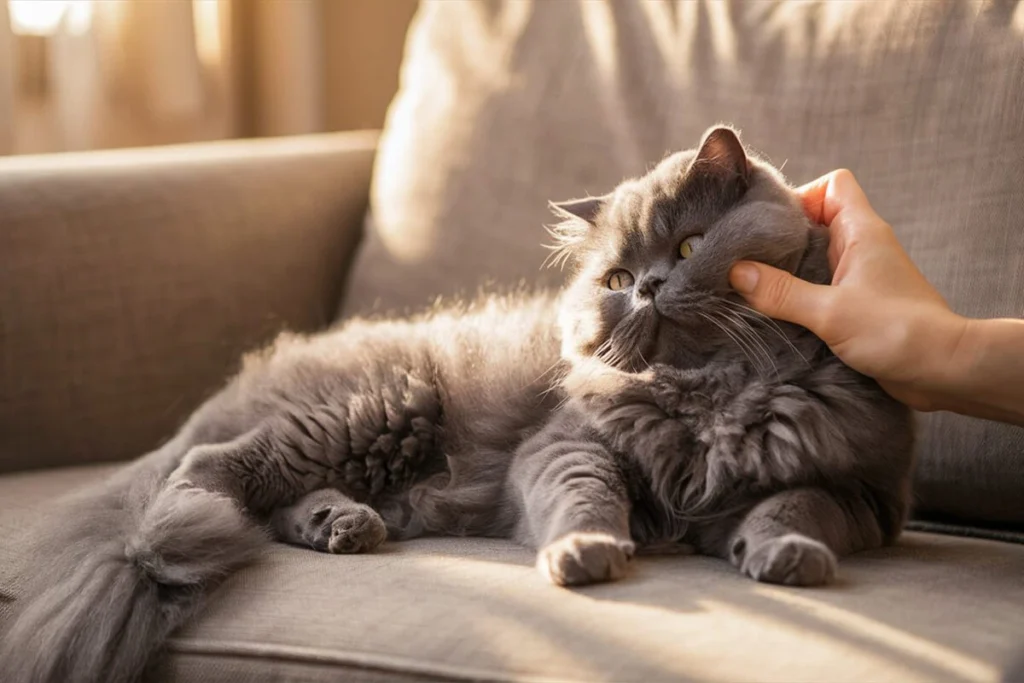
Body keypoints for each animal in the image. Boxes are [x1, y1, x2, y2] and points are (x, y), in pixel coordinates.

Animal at [0, 126, 913, 683]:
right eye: (617, 278)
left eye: (689, 246)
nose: (649, 288)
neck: (707, 391)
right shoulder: (565, 445)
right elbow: (585, 498)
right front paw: (586, 553)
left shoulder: (857, 492)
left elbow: (792, 507)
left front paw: (785, 555)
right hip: (373, 409)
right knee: (208, 469)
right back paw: (172, 539)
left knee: (273, 499)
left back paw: (342, 527)